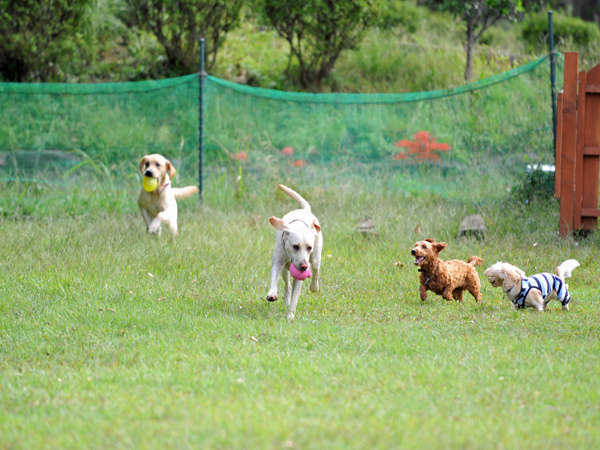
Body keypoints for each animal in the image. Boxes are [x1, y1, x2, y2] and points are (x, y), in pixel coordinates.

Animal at [268, 184, 324, 320]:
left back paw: (314, 287)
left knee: (316, 271)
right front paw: (272, 294)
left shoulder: (300, 275)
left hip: (315, 259)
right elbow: (274, 278)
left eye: (309, 247)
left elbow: (295, 296)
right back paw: (286, 299)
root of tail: (306, 211)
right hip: (285, 269)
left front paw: (290, 315)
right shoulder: (278, 262)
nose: (304, 267)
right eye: (295, 246)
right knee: (287, 285)